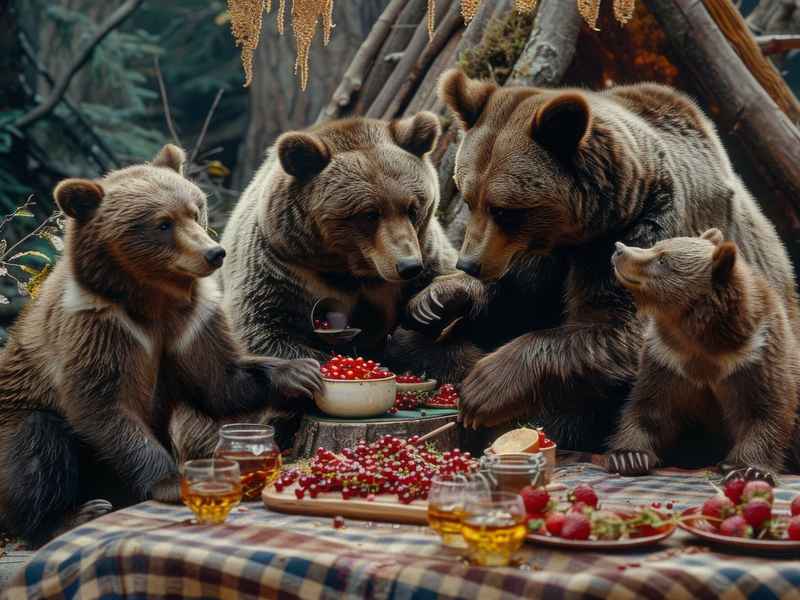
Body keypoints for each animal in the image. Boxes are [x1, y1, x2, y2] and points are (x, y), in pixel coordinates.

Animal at [0, 145, 321, 545]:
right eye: (163, 223)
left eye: (195, 209)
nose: (214, 252)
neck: (154, 301)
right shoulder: (97, 326)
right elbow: (105, 405)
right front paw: (170, 480)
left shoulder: (193, 323)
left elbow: (220, 382)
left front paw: (299, 373)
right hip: (14, 419)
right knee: (36, 444)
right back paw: (72, 514)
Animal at [170, 113, 484, 458]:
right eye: (369, 213)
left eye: (412, 207)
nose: (407, 265)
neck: (348, 268)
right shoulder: (281, 266)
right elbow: (265, 328)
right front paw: (317, 374)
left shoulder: (425, 248)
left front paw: (433, 303)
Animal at [607, 230, 800, 477]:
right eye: (657, 246)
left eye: (662, 260)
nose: (619, 248)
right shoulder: (667, 358)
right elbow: (650, 406)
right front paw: (629, 457)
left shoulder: (756, 355)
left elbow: (766, 411)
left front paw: (749, 468)